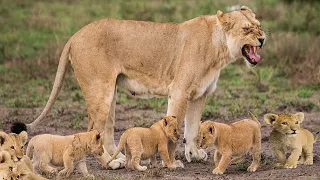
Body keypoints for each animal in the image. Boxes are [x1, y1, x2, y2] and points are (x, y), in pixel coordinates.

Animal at [27, 6, 266, 168]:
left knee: (107, 130)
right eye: (247, 29)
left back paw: (118, 157)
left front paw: (195, 154)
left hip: (110, 93)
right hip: (100, 91)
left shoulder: (199, 95)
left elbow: (192, 129)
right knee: (94, 130)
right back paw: (110, 163)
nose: (263, 39)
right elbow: (175, 130)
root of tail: (75, 35)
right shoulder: (179, 92)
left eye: (260, 26)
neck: (219, 49)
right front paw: (171, 162)